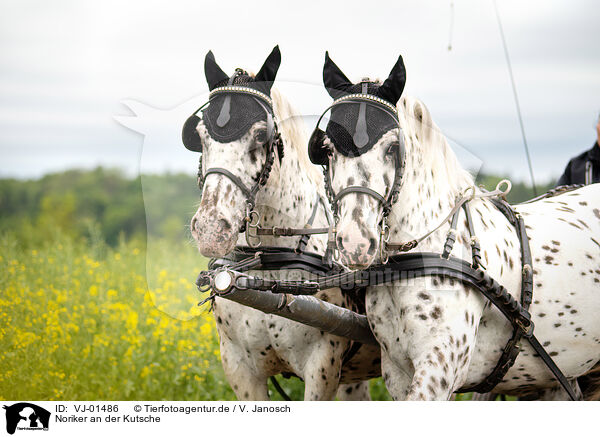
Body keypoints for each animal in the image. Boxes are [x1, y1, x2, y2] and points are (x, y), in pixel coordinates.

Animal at [183, 46, 380, 398]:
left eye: (262, 134)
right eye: (200, 134)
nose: (211, 228)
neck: (269, 266)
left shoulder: (322, 366)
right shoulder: (238, 367)